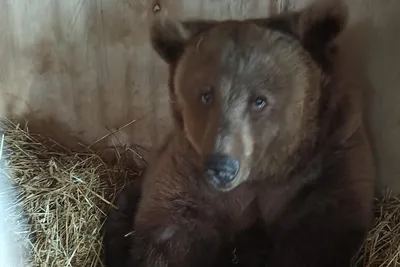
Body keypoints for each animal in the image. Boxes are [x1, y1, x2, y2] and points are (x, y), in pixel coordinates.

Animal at [102, 1, 376, 266]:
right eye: (206, 94)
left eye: (259, 100)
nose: (222, 167)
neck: (260, 177)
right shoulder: (188, 175)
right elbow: (171, 232)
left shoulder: (329, 161)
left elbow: (318, 234)